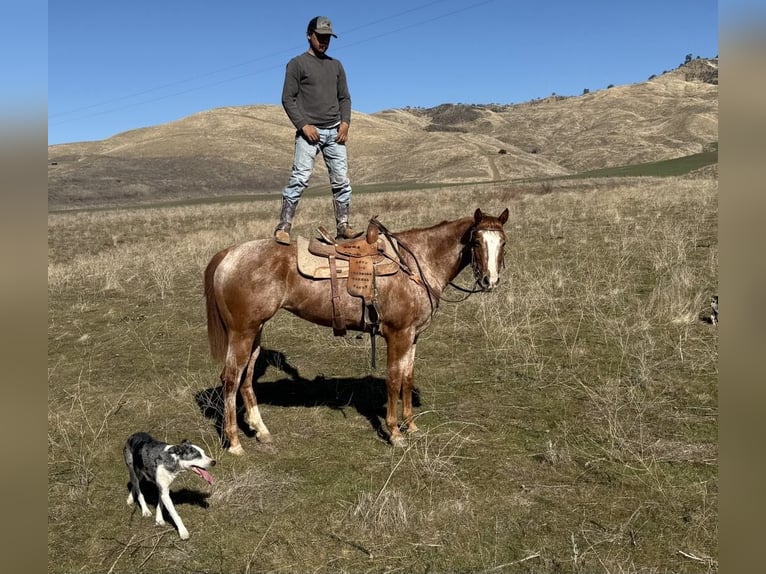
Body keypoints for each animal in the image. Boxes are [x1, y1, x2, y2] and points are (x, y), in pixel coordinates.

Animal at [207, 209, 512, 456]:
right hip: (242, 332)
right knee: (231, 379)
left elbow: (408, 378)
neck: (416, 263)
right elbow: (394, 380)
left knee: (246, 378)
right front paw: (395, 433)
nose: (490, 281)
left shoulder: (413, 336)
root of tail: (229, 253)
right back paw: (235, 443)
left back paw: (260, 430)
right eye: (476, 241)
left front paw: (412, 426)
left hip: (255, 331)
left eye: (503, 243)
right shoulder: (398, 335)